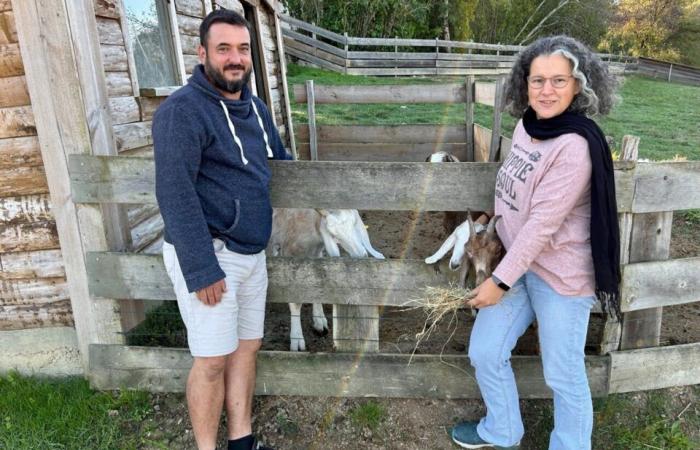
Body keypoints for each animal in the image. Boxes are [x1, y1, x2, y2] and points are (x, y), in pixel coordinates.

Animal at [266, 207, 386, 352]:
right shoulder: (291, 252)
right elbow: (295, 302)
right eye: (333, 234)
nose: (362, 256)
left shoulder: (316, 251)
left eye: (354, 223)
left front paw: (319, 321)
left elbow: (318, 283)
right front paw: (297, 338)